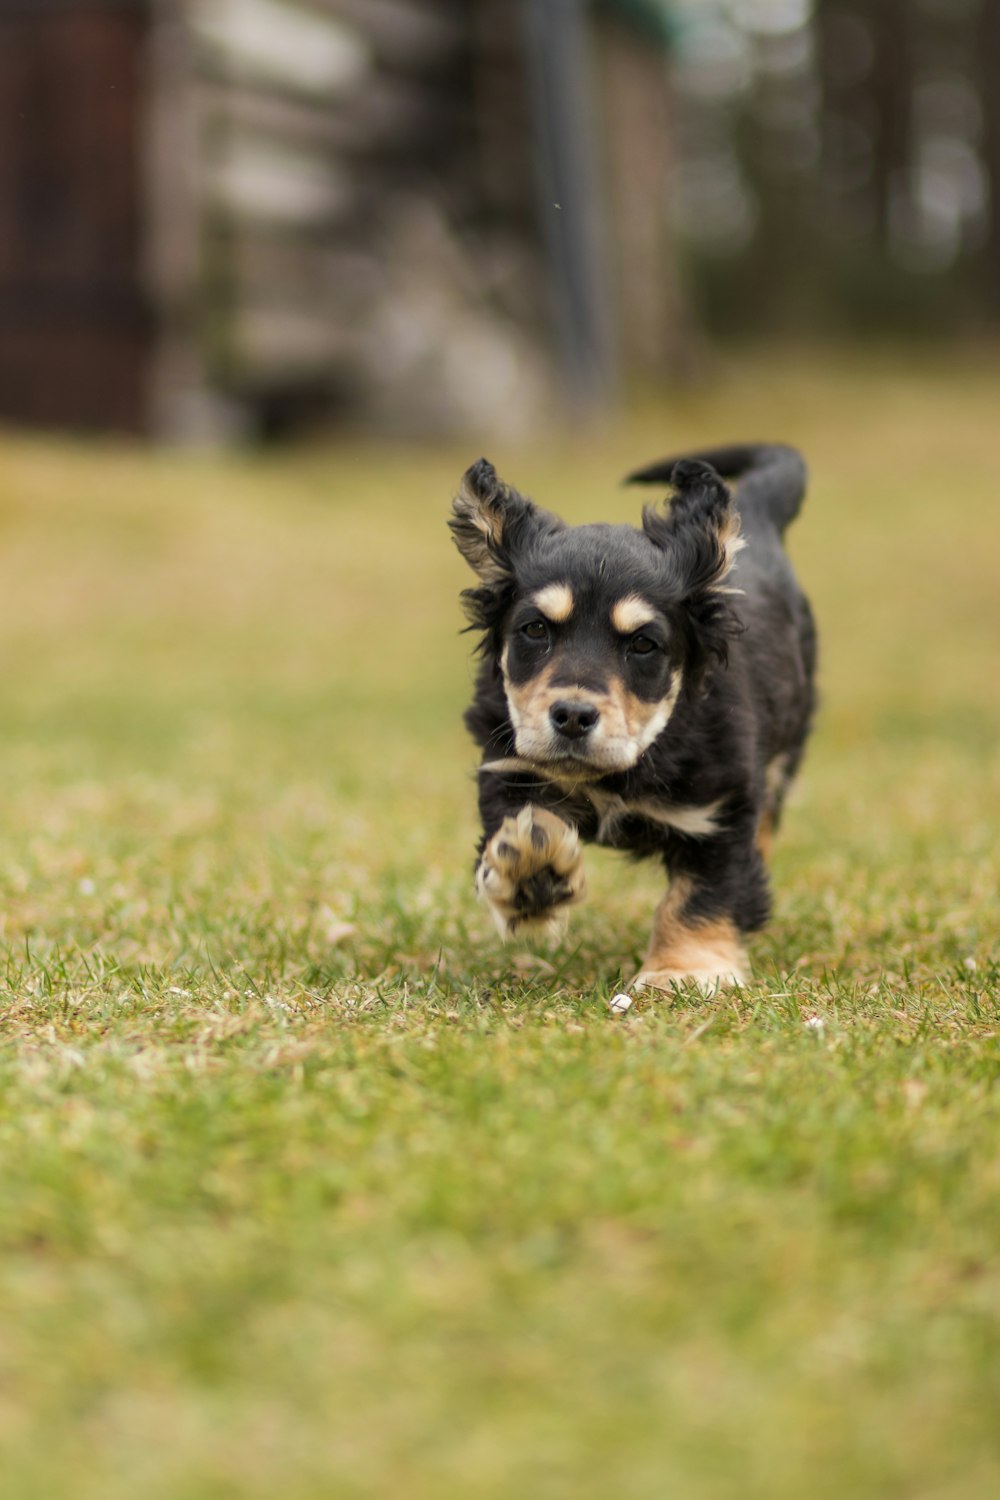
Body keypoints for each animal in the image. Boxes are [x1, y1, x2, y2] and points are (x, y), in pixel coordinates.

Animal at [449, 438, 815, 990]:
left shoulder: (723, 807)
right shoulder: (510, 765)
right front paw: (532, 865)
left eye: (643, 644)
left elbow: (705, 892)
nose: (572, 716)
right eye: (535, 629)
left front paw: (685, 969)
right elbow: (511, 830)